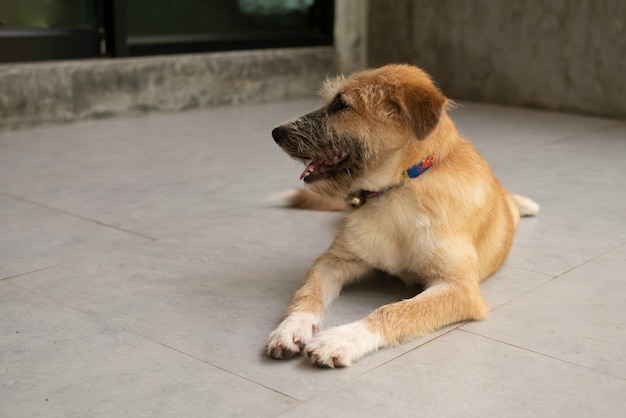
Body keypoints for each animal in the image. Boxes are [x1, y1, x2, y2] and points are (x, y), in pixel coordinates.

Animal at [264, 63, 536, 368]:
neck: (393, 192)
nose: (276, 132)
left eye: (341, 104)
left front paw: (341, 340)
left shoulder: (460, 288)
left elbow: (393, 310)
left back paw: (524, 203)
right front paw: (291, 327)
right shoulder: (333, 260)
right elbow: (308, 293)